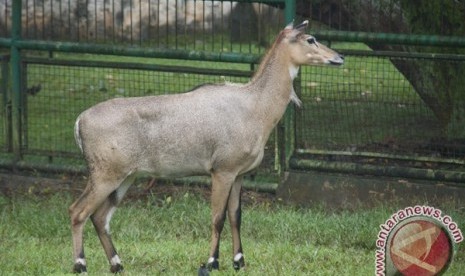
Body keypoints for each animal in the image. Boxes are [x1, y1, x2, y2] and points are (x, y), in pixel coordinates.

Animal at [70, 20, 342, 274]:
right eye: (310, 39)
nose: (339, 57)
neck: (255, 106)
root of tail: (80, 120)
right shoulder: (222, 171)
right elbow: (217, 217)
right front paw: (211, 262)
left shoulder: (239, 174)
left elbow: (236, 216)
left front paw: (239, 261)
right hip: (105, 175)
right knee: (78, 211)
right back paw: (80, 264)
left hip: (126, 177)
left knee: (99, 217)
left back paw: (117, 264)